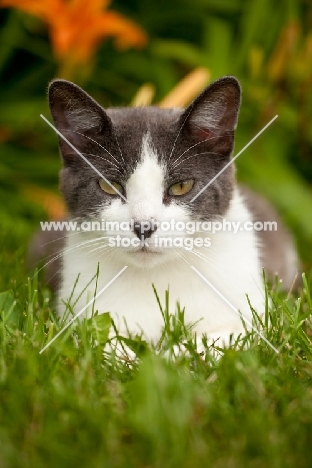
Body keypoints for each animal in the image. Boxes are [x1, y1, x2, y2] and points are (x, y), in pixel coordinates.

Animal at [32, 76, 300, 348]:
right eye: (109, 186)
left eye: (181, 186)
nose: (143, 227)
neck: (157, 277)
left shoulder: (248, 319)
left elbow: (217, 343)